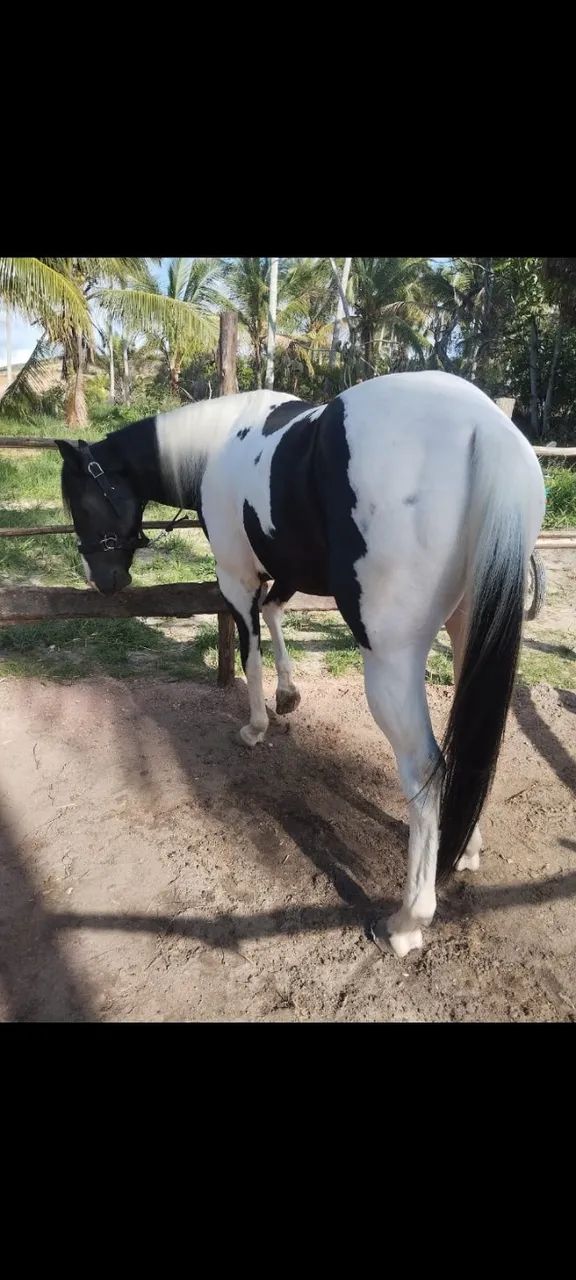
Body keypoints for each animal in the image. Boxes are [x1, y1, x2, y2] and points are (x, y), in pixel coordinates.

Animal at [56, 371, 546, 958]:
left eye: (83, 503)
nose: (102, 581)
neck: (219, 442)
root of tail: (482, 427)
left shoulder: (237, 575)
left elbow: (249, 648)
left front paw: (256, 725)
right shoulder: (285, 569)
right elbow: (274, 614)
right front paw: (288, 695)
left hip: (392, 662)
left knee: (426, 769)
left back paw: (407, 922)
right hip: (471, 630)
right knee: (474, 741)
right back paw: (466, 848)